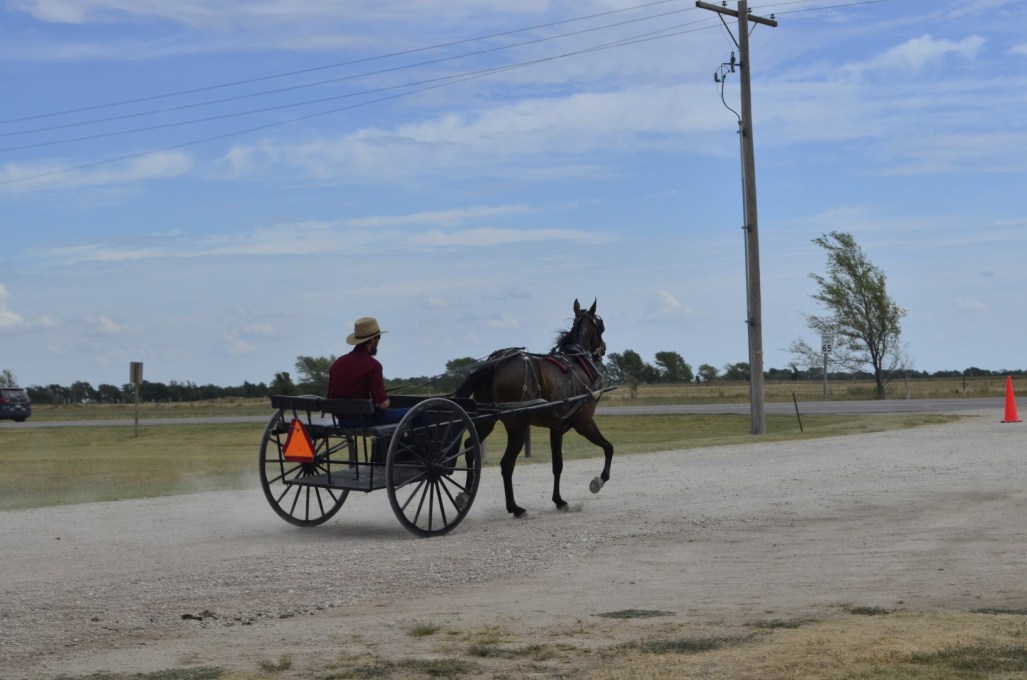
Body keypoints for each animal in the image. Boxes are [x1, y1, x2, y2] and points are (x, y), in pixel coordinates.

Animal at [455, 299, 614, 517]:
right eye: (601, 326)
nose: (603, 349)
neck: (576, 361)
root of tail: (496, 363)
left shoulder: (557, 428)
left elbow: (558, 465)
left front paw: (559, 500)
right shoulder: (584, 422)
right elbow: (609, 448)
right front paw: (599, 480)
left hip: (487, 420)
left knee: (471, 449)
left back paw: (465, 495)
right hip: (518, 426)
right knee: (506, 463)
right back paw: (515, 507)